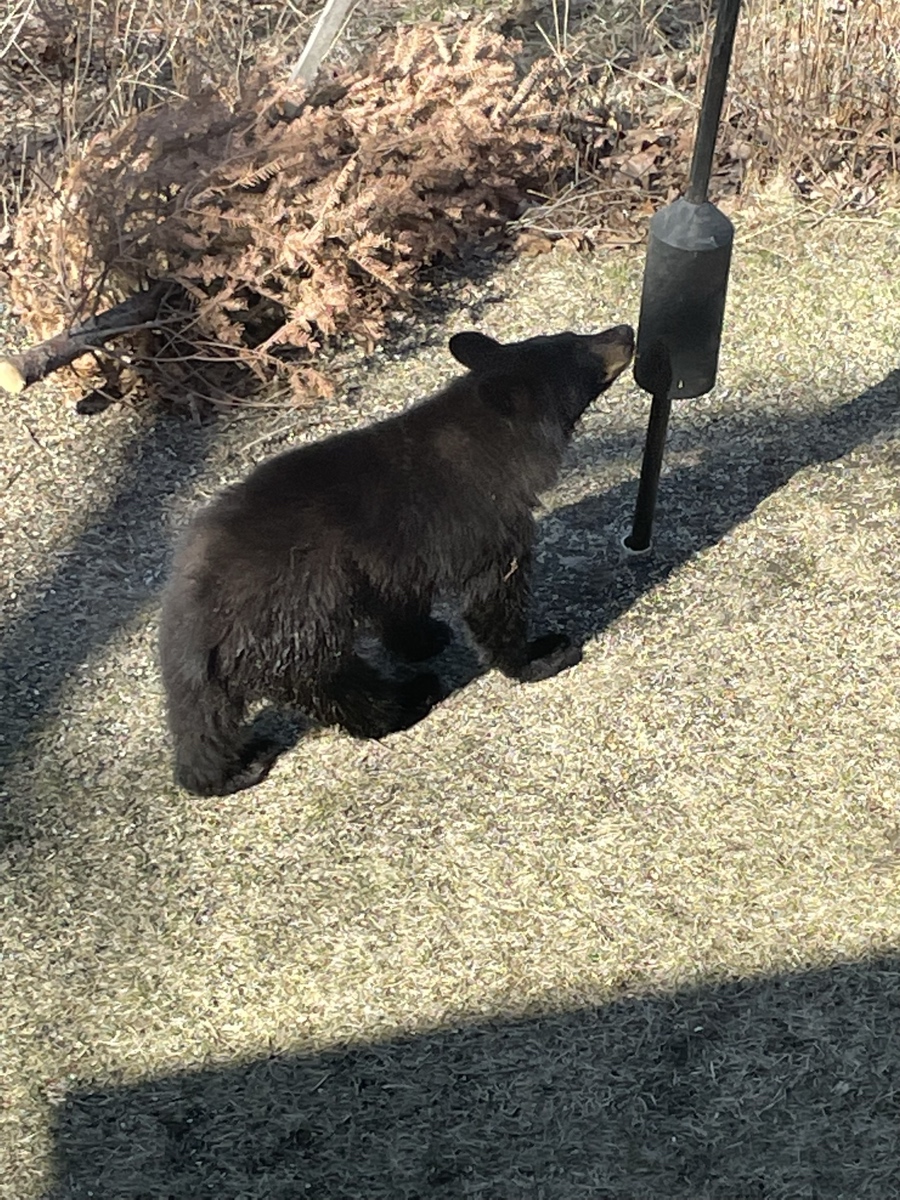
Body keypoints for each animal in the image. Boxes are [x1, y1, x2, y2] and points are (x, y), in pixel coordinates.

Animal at [159, 323, 635, 795]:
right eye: (579, 351)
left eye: (573, 334)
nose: (626, 331)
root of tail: (199, 610)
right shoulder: (480, 524)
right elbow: (492, 596)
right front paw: (540, 655)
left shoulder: (396, 554)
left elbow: (401, 598)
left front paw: (424, 637)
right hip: (296, 619)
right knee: (333, 683)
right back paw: (407, 699)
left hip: (213, 661)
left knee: (204, 722)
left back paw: (229, 770)